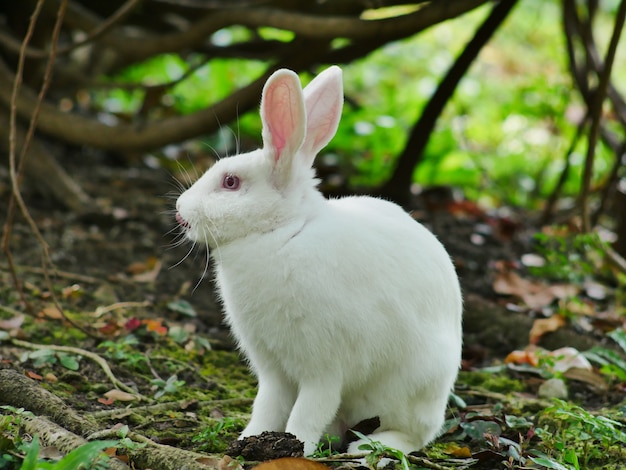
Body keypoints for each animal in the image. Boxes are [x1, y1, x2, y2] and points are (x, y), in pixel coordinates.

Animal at [173, 65, 460, 456]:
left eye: (230, 182)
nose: (179, 212)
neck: (282, 233)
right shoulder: (272, 370)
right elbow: (267, 406)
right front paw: (250, 440)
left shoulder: (323, 368)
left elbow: (309, 410)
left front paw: (295, 446)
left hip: (408, 389)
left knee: (413, 435)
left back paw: (370, 448)